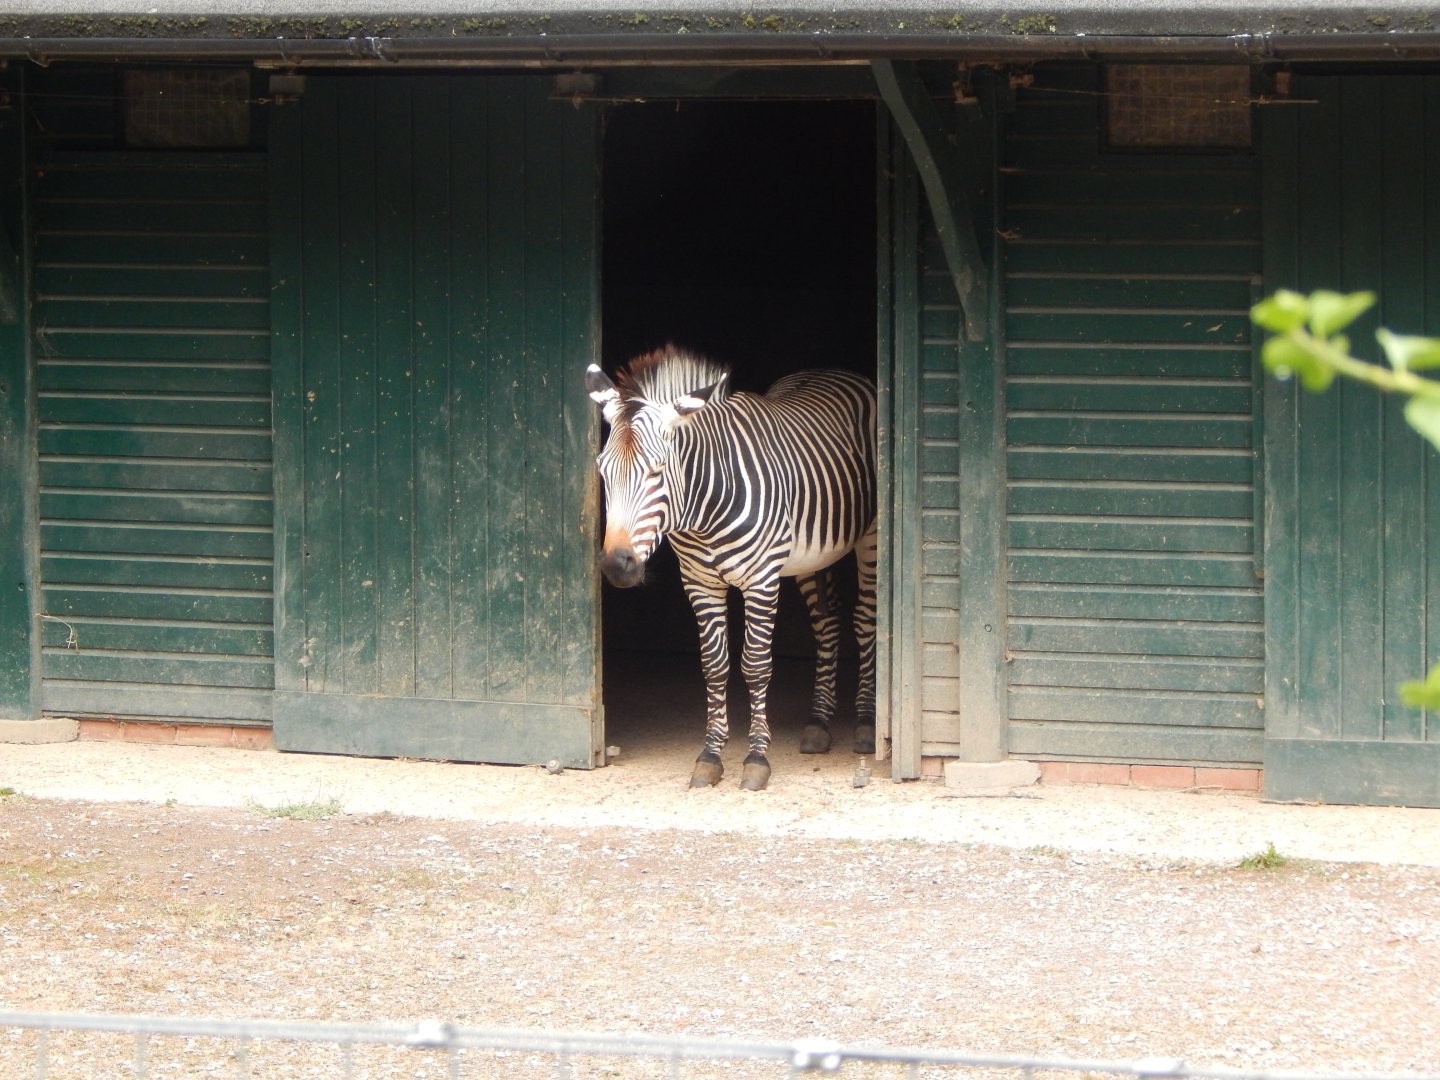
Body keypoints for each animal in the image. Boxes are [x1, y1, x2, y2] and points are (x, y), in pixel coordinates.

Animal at [586, 345, 878, 791]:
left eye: (657, 471)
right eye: (603, 471)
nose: (618, 566)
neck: (703, 511)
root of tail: (831, 369)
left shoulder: (761, 579)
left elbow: (755, 665)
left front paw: (756, 758)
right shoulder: (700, 583)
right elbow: (715, 666)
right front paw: (710, 755)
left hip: (871, 538)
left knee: (865, 620)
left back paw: (865, 722)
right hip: (811, 555)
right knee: (827, 624)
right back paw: (817, 722)